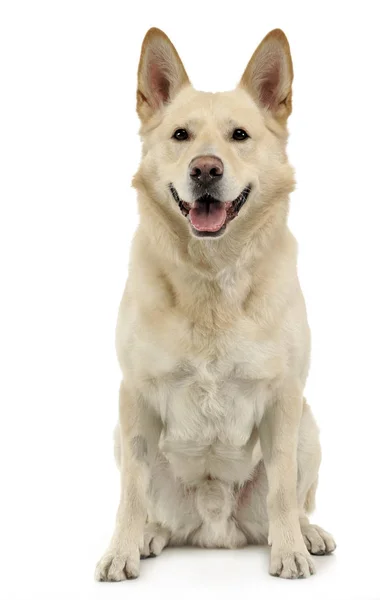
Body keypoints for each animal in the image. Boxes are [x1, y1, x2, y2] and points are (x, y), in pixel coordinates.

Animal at [94, 25, 336, 580]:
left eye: (239, 136)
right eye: (181, 136)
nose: (206, 169)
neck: (210, 278)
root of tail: (216, 527)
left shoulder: (285, 398)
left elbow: (283, 489)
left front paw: (289, 550)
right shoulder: (134, 398)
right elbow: (131, 492)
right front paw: (121, 550)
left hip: (308, 426)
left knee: (292, 498)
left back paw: (304, 534)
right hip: (123, 435)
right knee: (151, 505)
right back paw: (149, 536)